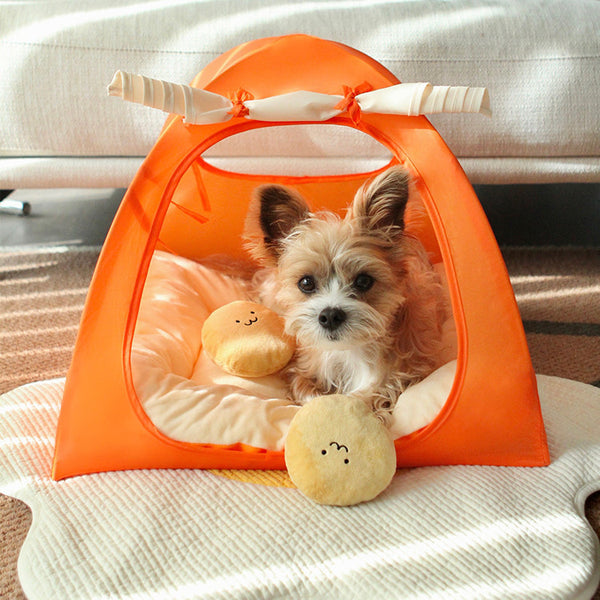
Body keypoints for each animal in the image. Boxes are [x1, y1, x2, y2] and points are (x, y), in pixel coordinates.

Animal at [243, 164, 446, 418]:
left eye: (363, 281)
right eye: (306, 282)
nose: (330, 315)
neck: (348, 350)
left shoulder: (406, 372)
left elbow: (366, 396)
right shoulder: (303, 369)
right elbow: (310, 394)